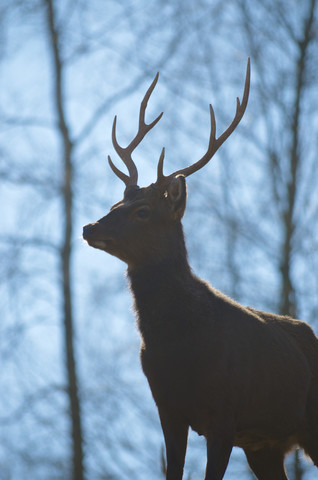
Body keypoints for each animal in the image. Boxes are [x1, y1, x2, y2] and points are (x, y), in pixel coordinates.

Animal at [83, 61, 318, 480]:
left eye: (143, 211)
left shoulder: (224, 413)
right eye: (114, 204)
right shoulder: (168, 410)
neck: (177, 344)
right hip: (266, 445)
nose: (89, 228)